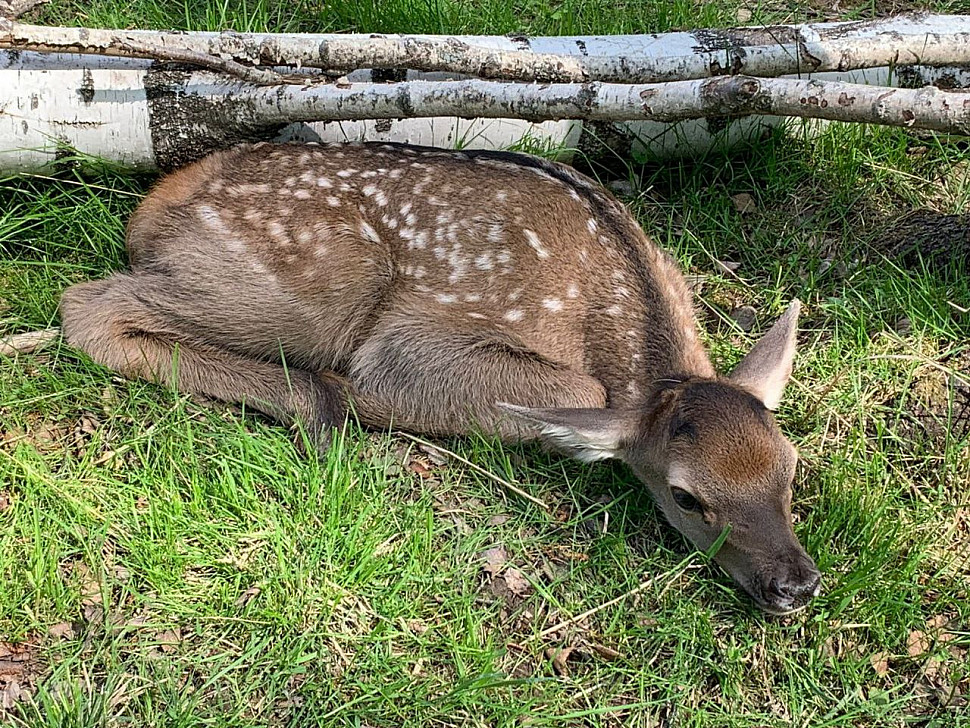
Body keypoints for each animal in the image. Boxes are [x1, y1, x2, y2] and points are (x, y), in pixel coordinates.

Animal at [58, 141, 816, 616]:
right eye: (686, 497)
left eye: (791, 467)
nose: (797, 584)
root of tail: (156, 202)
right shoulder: (409, 342)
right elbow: (582, 393)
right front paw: (359, 397)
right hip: (313, 283)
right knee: (87, 305)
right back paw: (318, 400)